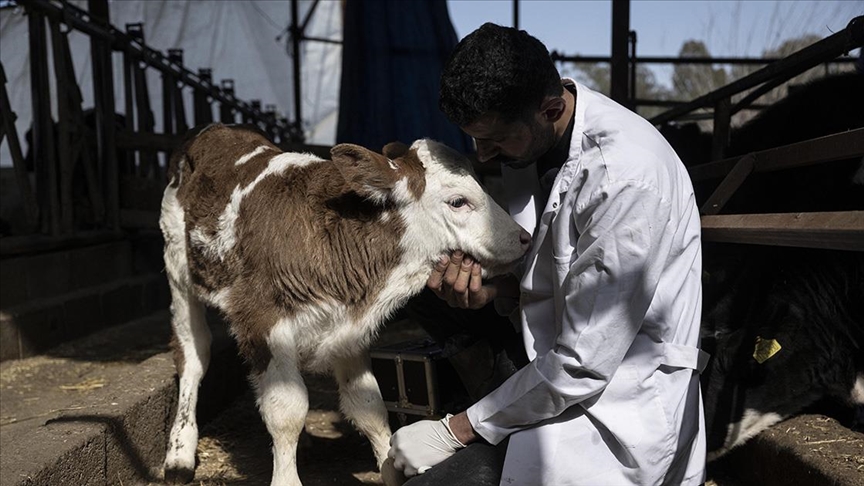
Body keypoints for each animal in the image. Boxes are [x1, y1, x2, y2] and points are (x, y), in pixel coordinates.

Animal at [159, 123, 528, 484]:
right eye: (458, 201)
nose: (523, 238)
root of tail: (216, 129)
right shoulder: (263, 318)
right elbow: (286, 409)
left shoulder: (348, 328)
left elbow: (368, 406)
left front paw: (391, 469)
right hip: (178, 268)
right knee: (194, 354)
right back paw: (179, 454)